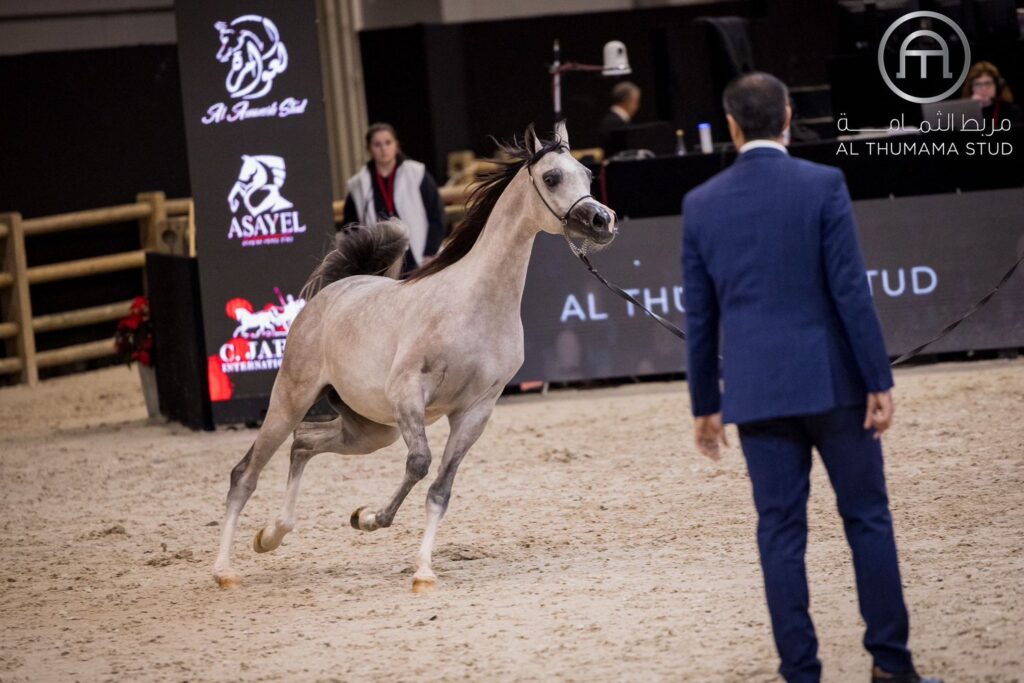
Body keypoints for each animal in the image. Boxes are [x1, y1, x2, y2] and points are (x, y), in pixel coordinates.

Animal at [212, 122, 614, 593]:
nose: (603, 221)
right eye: (551, 178)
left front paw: (418, 566)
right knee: (245, 473)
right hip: (291, 401)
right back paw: (225, 570)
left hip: (371, 429)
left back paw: (271, 535)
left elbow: (440, 489)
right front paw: (371, 519)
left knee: (304, 444)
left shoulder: (476, 411)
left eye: (587, 174)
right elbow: (420, 464)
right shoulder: (409, 392)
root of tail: (332, 294)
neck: (475, 305)